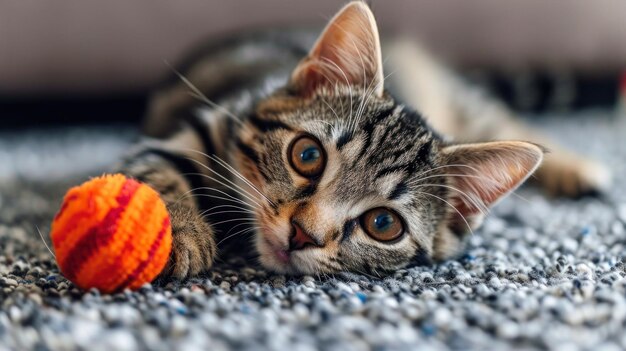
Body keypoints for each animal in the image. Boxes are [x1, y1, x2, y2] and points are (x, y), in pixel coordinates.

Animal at [114, 1, 608, 280]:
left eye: (383, 224)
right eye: (307, 155)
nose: (303, 234)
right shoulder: (196, 129)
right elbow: (159, 168)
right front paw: (178, 230)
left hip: (467, 105)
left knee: (505, 118)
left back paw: (579, 167)